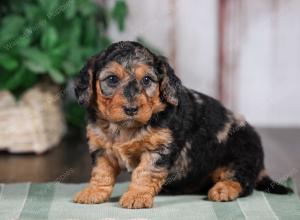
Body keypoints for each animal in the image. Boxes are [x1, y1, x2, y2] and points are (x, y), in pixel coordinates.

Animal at [74, 40, 292, 208]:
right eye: (112, 79)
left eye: (147, 80)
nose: (131, 109)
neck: (125, 127)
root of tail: (261, 165)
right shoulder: (101, 149)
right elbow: (101, 172)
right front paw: (93, 192)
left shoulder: (159, 149)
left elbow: (144, 173)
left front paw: (137, 196)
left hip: (241, 152)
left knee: (242, 181)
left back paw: (224, 189)